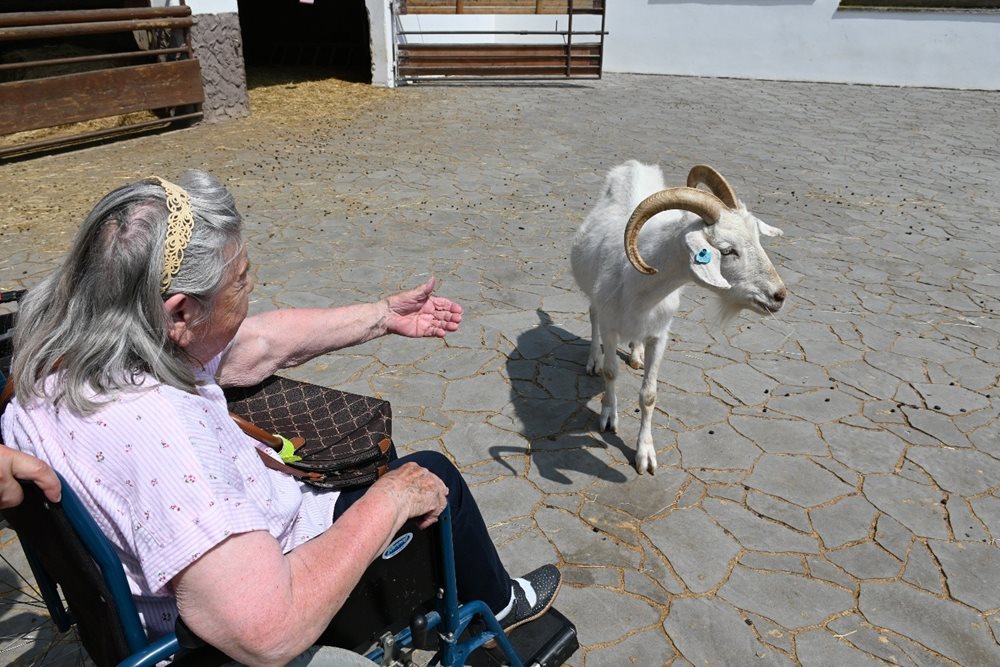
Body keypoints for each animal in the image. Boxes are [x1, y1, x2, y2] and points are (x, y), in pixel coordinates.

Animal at [570, 161, 787, 475]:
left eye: (757, 239)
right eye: (727, 250)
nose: (779, 295)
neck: (635, 282)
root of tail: (634, 166)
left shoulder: (659, 334)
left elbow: (649, 394)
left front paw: (645, 454)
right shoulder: (611, 328)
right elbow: (611, 372)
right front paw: (609, 417)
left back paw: (635, 355)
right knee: (592, 316)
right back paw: (592, 361)